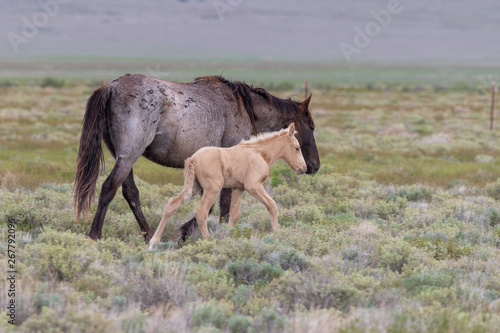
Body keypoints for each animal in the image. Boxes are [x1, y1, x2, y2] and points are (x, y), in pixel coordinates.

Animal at [146, 122, 306, 246]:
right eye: (297, 148)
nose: (303, 169)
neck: (258, 153)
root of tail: (193, 159)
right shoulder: (253, 186)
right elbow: (272, 204)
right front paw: (277, 232)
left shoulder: (238, 188)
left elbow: (234, 214)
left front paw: (228, 235)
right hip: (213, 188)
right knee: (201, 211)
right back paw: (209, 240)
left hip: (195, 187)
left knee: (172, 204)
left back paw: (153, 242)